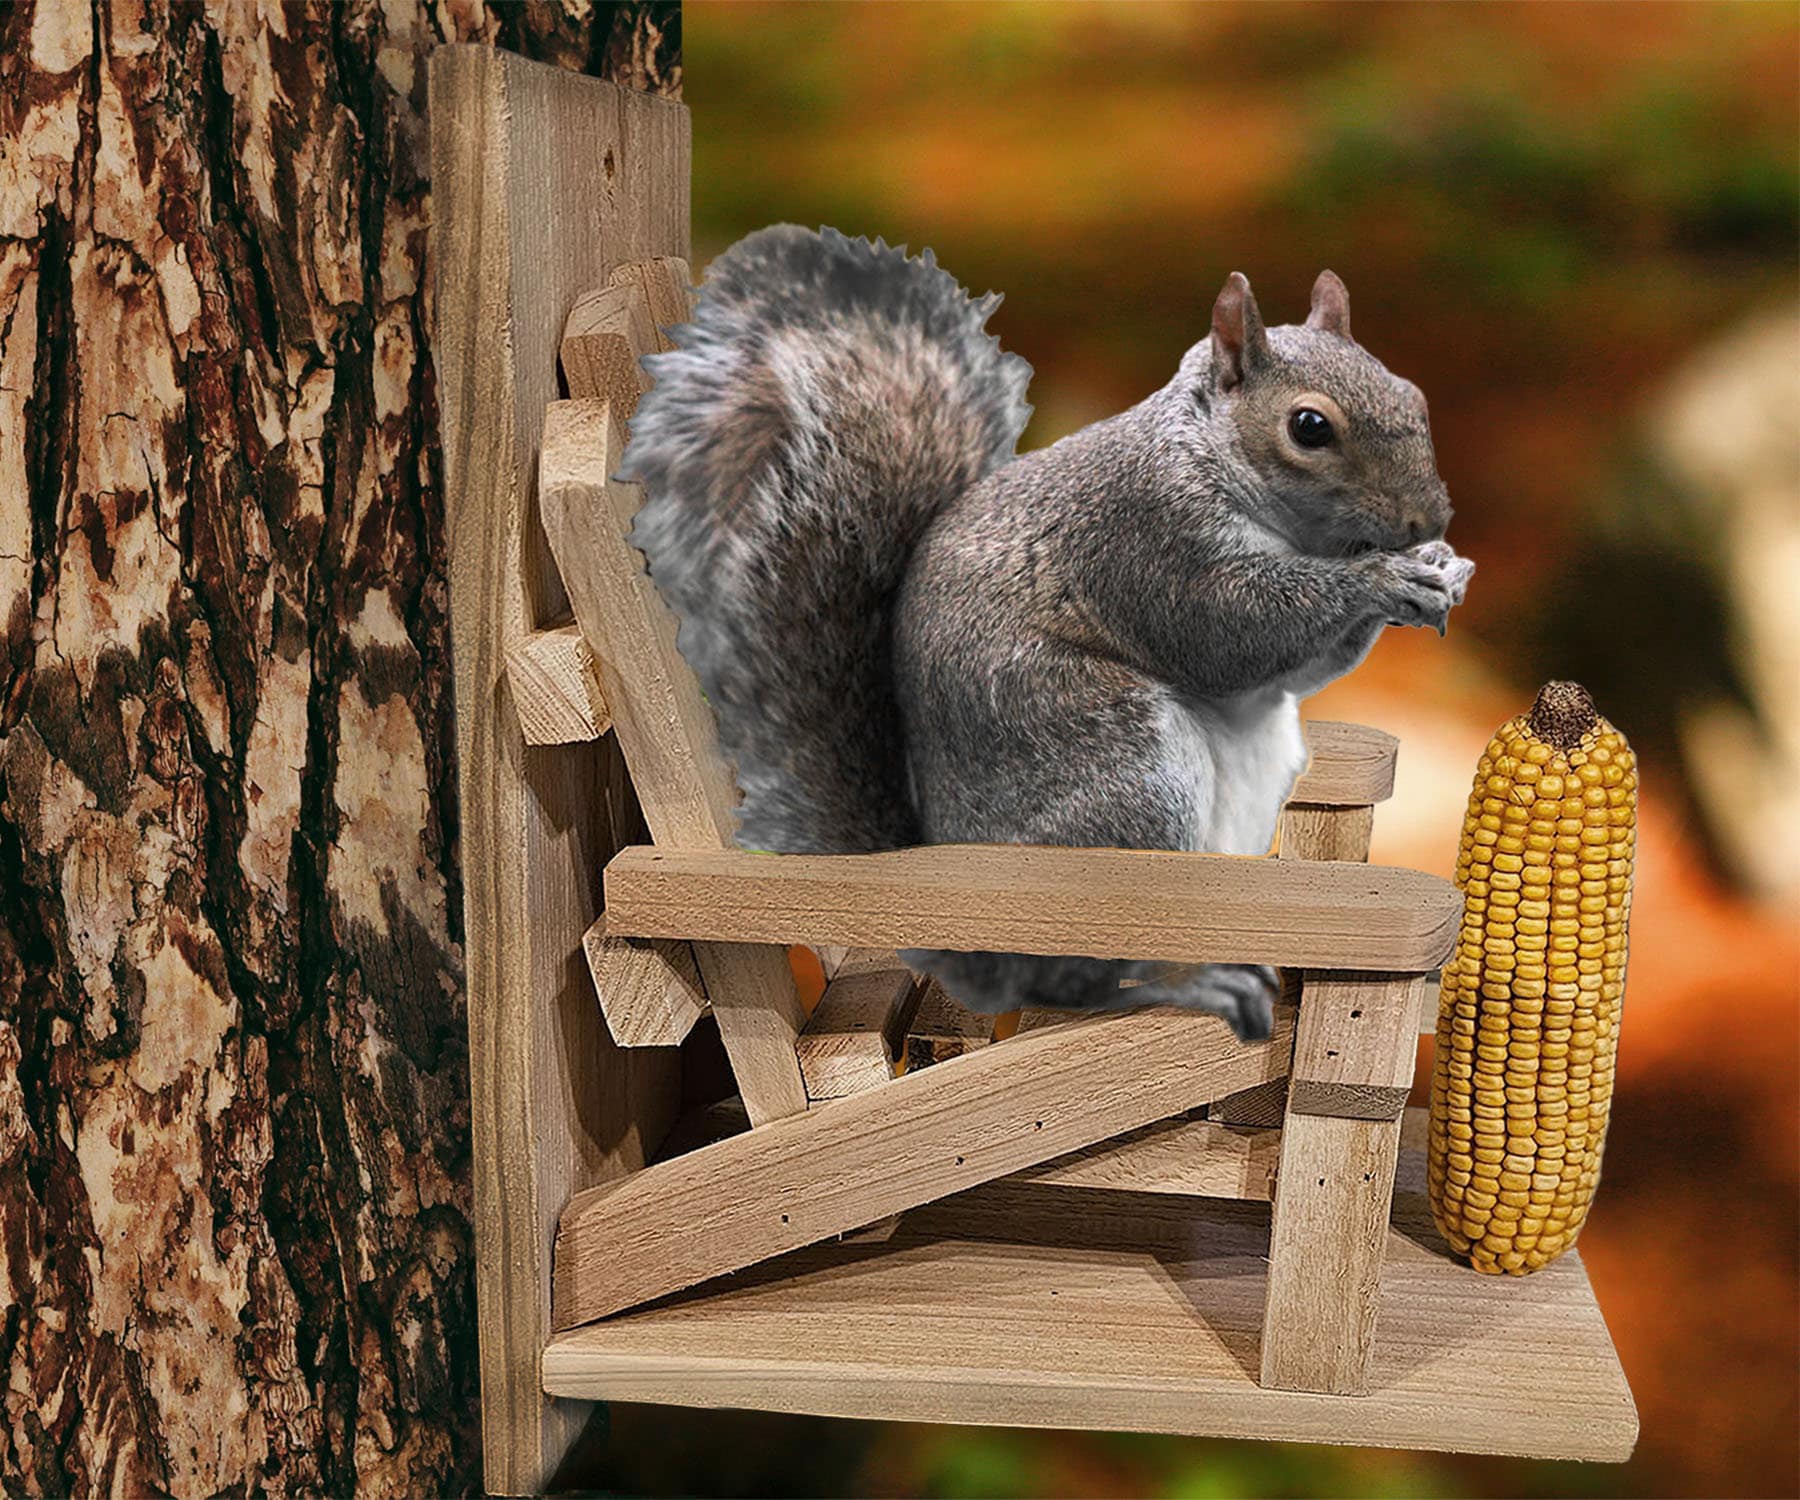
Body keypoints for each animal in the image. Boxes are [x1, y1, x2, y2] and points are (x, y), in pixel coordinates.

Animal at [619, 225, 1474, 1041]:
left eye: (1413, 395)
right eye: (1309, 427)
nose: (1428, 518)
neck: (1207, 455)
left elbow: (1295, 671)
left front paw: (1441, 569)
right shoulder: (1147, 540)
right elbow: (1232, 632)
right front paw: (1382, 578)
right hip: (1122, 773)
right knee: (1081, 980)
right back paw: (1187, 983)